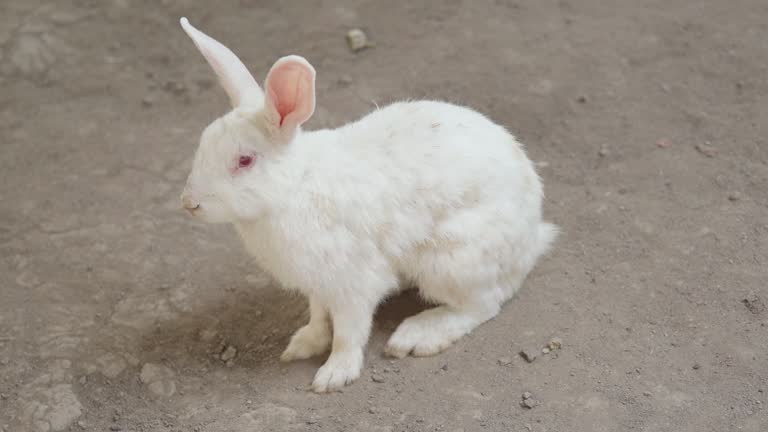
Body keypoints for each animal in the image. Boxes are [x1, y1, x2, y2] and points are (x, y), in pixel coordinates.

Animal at [177, 17, 557, 393]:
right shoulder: (319, 283)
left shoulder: (354, 282)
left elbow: (349, 332)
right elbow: (319, 315)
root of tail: (532, 235)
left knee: (483, 304)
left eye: (244, 161)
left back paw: (417, 335)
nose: (189, 203)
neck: (295, 186)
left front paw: (334, 374)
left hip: (451, 260)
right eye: (203, 142)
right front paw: (303, 344)